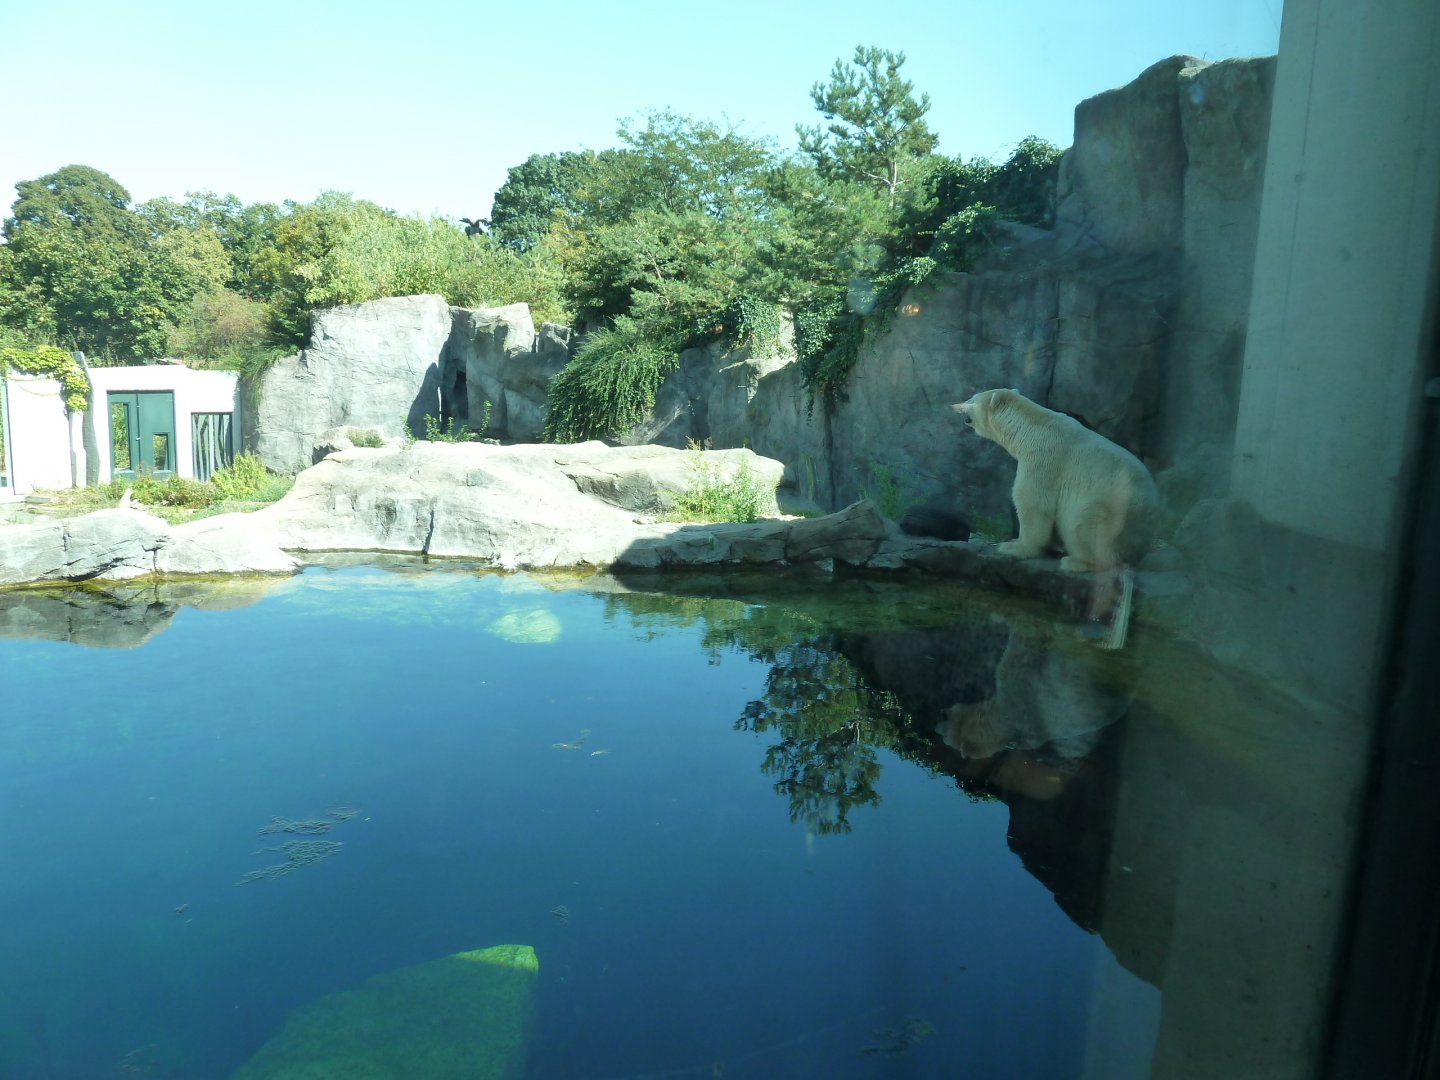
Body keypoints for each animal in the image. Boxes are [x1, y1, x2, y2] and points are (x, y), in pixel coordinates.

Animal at [952, 388, 1158, 572]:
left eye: (972, 398)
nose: (956, 405)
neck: (1031, 429)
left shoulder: (1043, 459)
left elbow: (1033, 502)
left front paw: (1013, 546)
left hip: (1116, 510)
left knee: (1086, 520)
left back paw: (1075, 562)